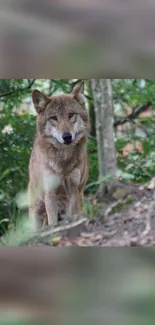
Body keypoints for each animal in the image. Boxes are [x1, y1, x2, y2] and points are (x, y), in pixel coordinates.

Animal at [27, 81, 89, 228]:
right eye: (54, 118)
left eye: (71, 115)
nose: (66, 137)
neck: (63, 161)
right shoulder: (50, 193)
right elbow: (53, 221)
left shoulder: (74, 190)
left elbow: (72, 216)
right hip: (36, 209)